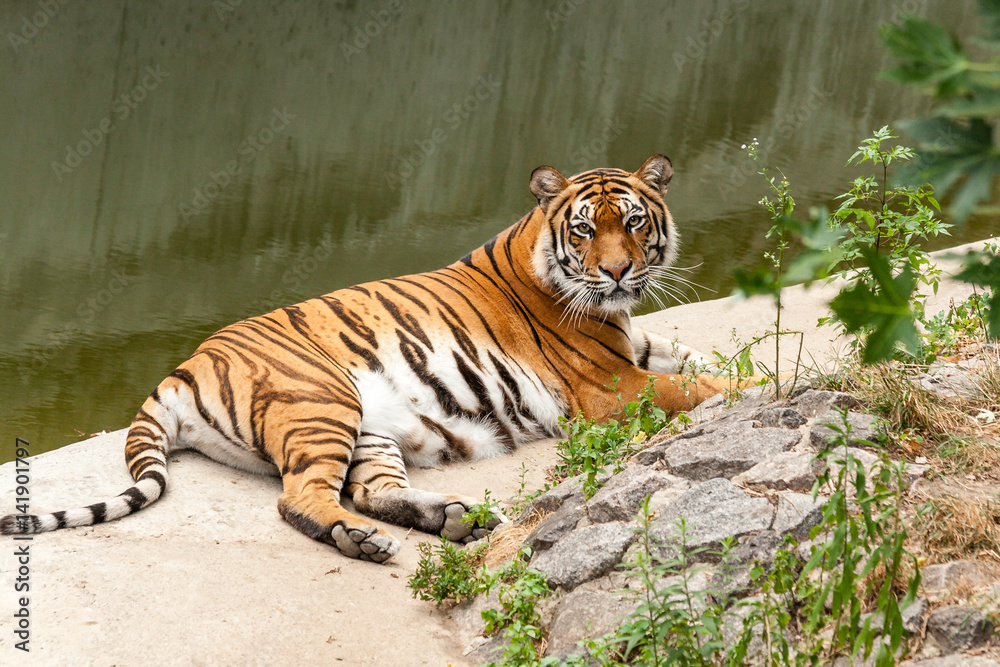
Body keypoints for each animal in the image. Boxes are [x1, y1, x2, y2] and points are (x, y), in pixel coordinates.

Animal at [1, 154, 731, 563]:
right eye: (583, 230)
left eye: (634, 222)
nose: (616, 273)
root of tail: (178, 369)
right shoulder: (611, 384)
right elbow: (701, 386)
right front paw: (754, 384)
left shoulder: (637, 344)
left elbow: (696, 357)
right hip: (324, 402)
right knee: (301, 498)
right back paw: (367, 542)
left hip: (372, 429)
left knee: (369, 489)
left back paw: (453, 518)